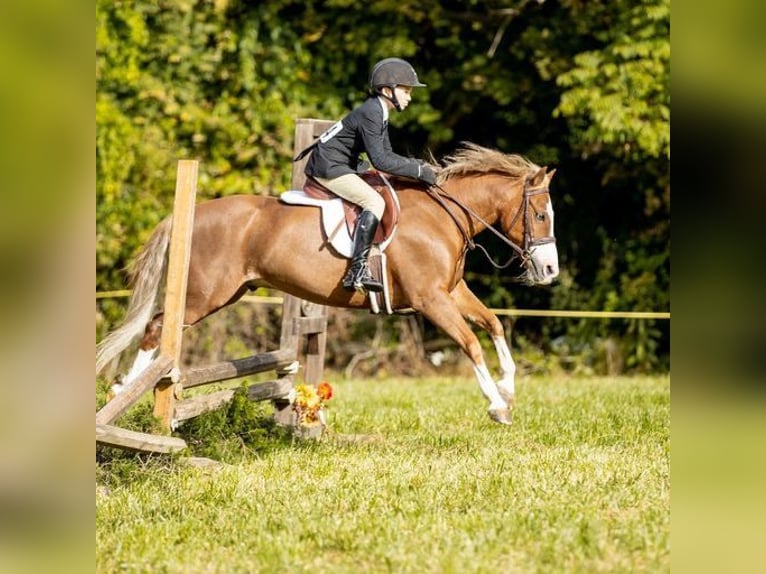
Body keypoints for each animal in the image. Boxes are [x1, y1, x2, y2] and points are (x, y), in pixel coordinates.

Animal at [99, 143, 560, 424]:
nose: (551, 270)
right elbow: (470, 343)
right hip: (204, 295)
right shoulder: (431, 300)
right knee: (158, 327)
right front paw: (497, 405)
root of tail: (188, 215)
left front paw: (508, 388)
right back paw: (124, 389)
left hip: (225, 293)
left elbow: (493, 325)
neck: (442, 216)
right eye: (540, 216)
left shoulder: (451, 292)